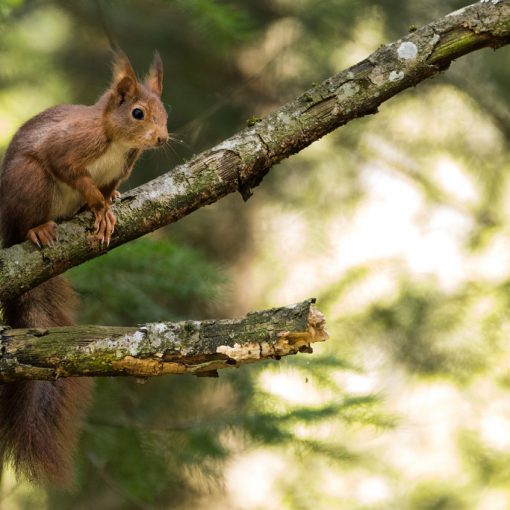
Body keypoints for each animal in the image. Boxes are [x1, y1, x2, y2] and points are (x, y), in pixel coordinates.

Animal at [0, 51, 169, 486]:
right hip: (31, 183)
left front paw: (110, 205)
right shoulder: (70, 149)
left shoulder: (123, 167)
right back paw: (38, 229)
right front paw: (98, 205)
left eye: (165, 112)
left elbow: (108, 188)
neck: (116, 137)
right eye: (138, 113)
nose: (162, 139)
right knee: (29, 218)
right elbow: (76, 175)